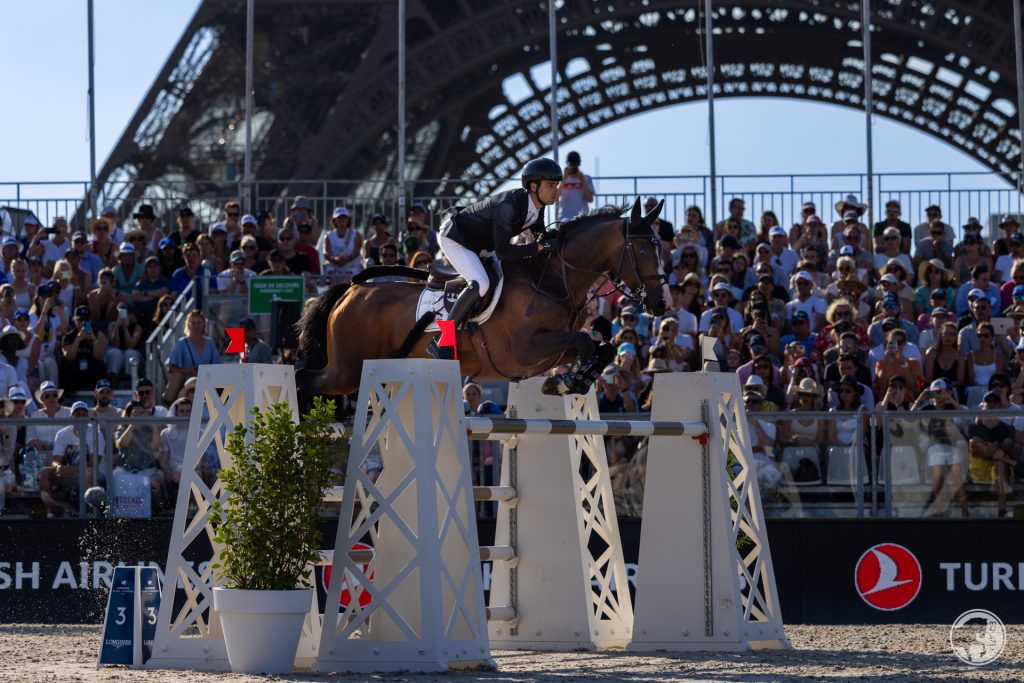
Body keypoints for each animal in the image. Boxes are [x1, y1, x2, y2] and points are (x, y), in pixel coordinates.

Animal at [292, 197, 667, 401]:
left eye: (660, 245)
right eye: (643, 249)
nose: (661, 303)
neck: (551, 279)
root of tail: (350, 291)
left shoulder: (549, 348)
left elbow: (599, 346)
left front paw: (567, 381)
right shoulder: (525, 350)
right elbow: (585, 342)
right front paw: (569, 380)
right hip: (346, 370)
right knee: (303, 378)